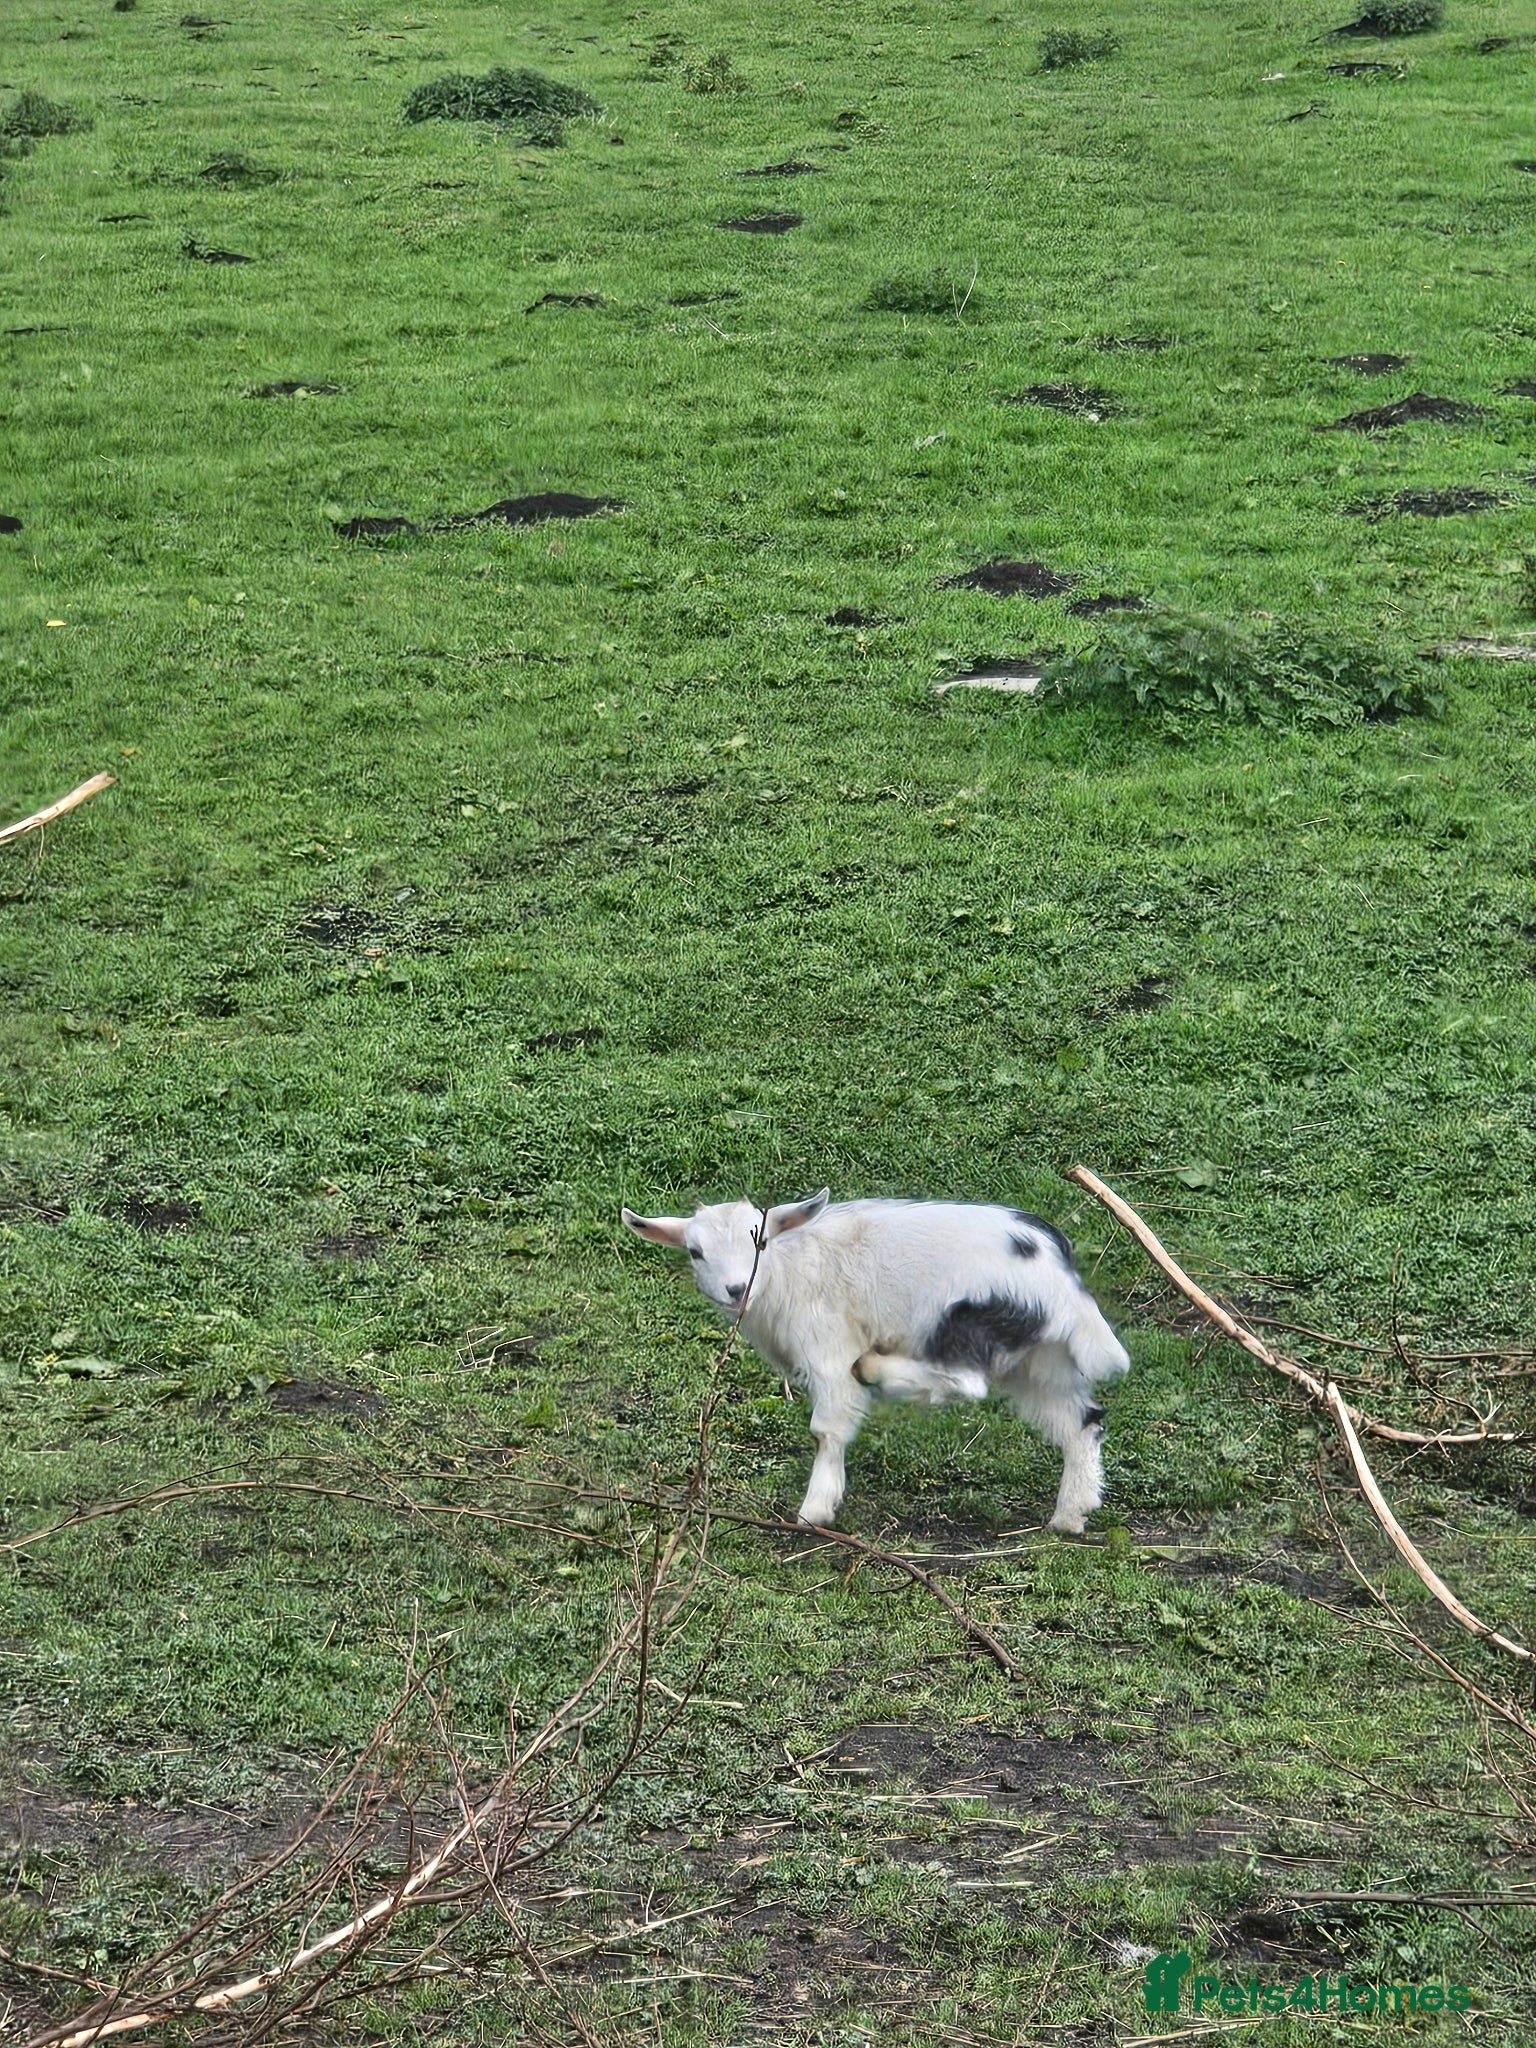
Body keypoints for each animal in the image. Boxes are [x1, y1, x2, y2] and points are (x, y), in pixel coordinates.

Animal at [621, 1191, 1130, 1531]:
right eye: (695, 1252)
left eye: (759, 1243)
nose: (735, 1289)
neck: (790, 1269)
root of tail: (1058, 1272)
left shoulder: (827, 1345)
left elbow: (827, 1428)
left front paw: (815, 1510)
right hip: (1038, 1357)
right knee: (1081, 1420)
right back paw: (1071, 1513)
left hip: (969, 1322)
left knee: (967, 1382)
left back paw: (880, 1370)